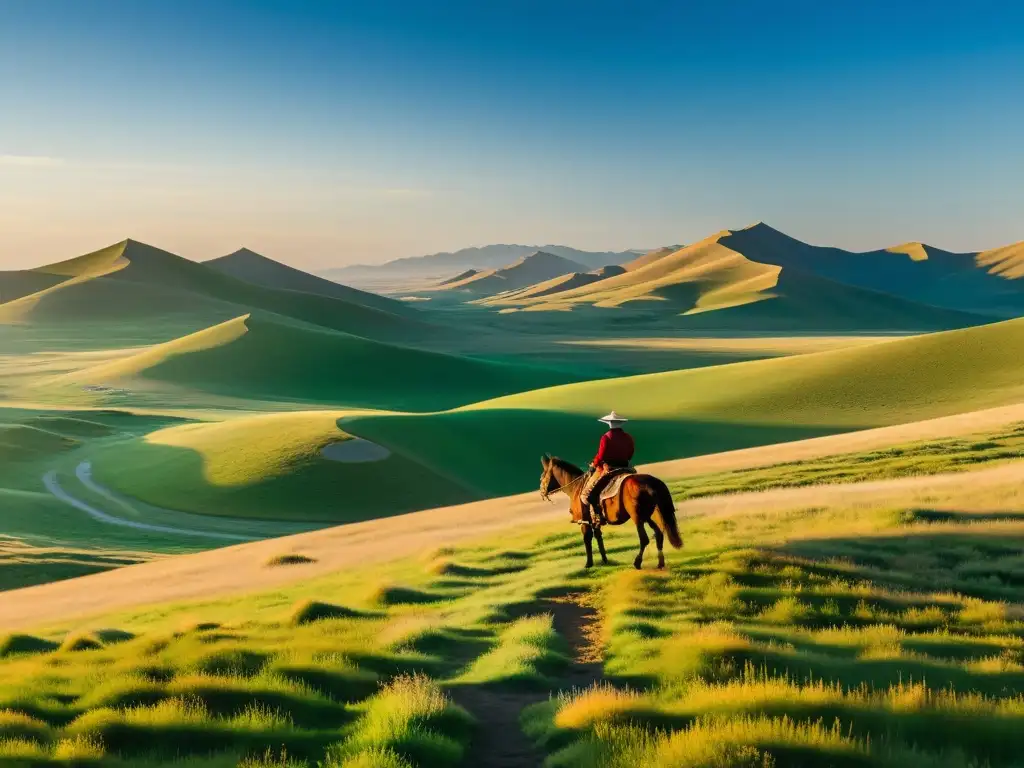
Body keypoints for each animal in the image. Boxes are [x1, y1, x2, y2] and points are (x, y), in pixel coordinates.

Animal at [540, 456, 684, 573]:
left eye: (542, 476)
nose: (542, 492)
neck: (576, 487)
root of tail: (651, 482)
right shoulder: (595, 521)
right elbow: (599, 538)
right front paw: (605, 560)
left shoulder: (585, 521)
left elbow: (587, 539)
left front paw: (588, 564)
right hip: (647, 515)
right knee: (659, 533)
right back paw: (660, 563)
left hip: (638, 517)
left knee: (644, 539)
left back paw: (637, 563)